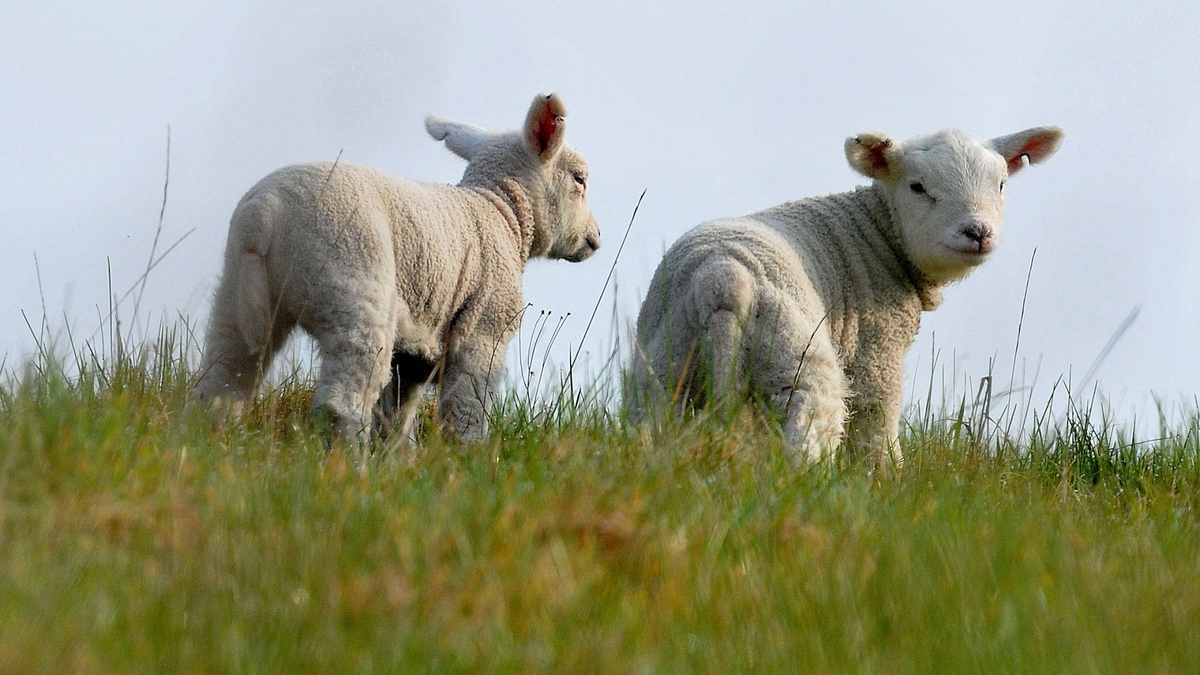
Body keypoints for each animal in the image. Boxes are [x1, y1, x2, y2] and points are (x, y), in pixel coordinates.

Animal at [194, 93, 600, 441]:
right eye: (579, 179)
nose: (596, 239)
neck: (500, 210)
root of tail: (266, 210)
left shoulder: (416, 349)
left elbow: (397, 416)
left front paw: (397, 461)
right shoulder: (484, 329)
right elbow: (467, 410)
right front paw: (468, 457)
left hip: (238, 293)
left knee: (221, 385)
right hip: (354, 286)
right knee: (341, 404)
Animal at [628, 124, 1060, 461]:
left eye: (1001, 185)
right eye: (918, 187)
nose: (978, 232)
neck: (878, 232)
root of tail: (722, 279)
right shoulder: (876, 356)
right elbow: (876, 438)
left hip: (664, 369)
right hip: (795, 355)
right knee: (807, 435)